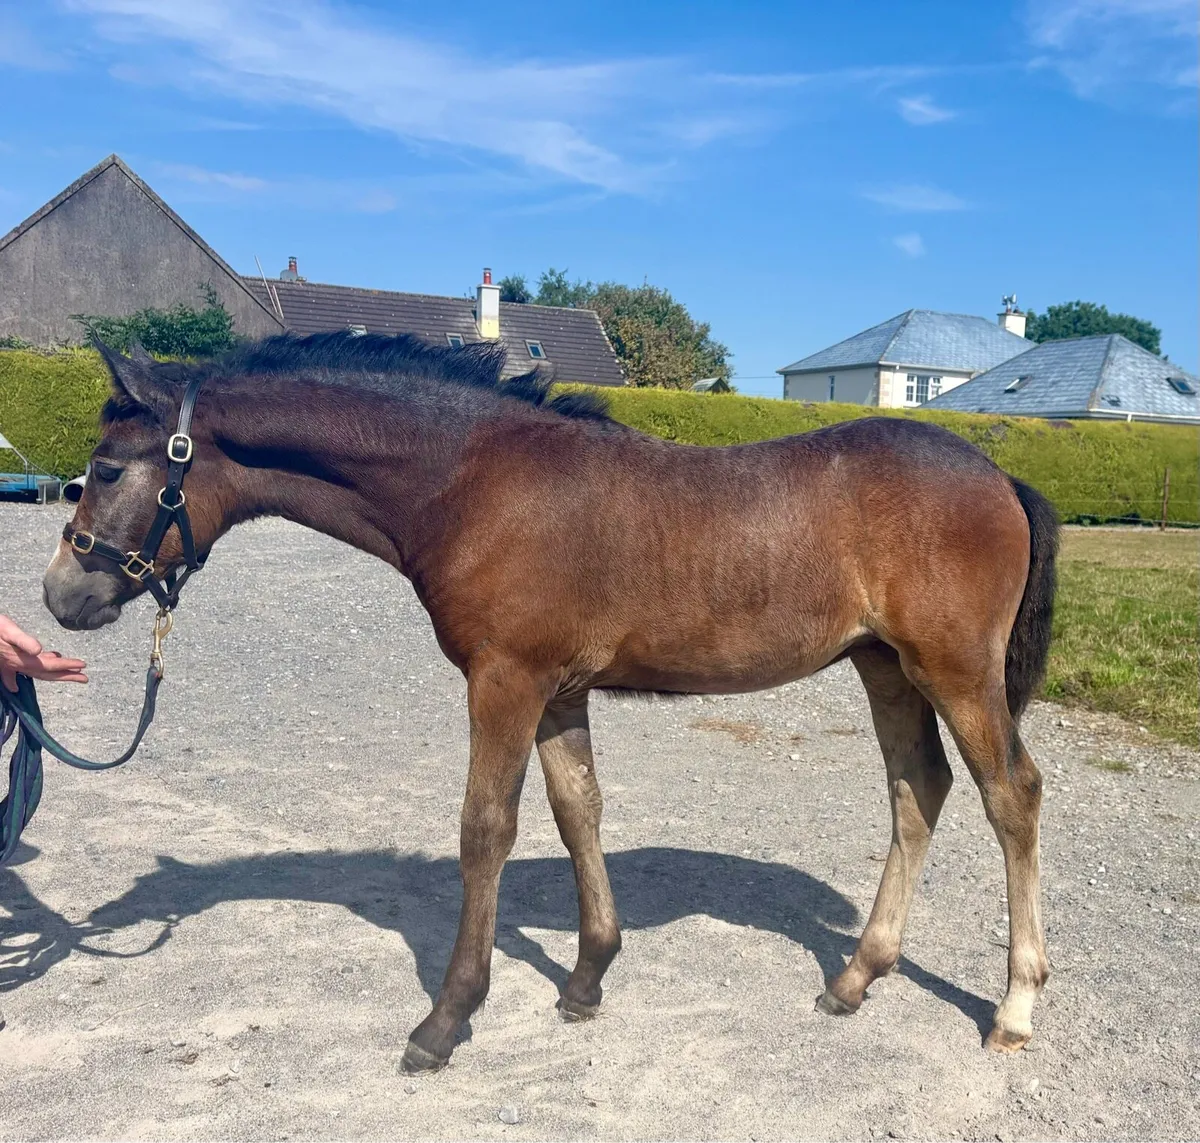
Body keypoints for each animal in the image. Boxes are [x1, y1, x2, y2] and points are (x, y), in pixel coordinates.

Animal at [42, 332, 1058, 1073]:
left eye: (107, 468)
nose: (61, 595)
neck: (471, 479)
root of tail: (1001, 477)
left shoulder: (507, 678)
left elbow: (486, 827)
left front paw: (446, 1018)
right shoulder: (559, 690)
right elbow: (579, 810)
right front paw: (586, 978)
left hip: (953, 670)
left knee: (1012, 794)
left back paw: (1013, 1008)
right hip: (885, 667)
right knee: (918, 789)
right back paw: (854, 979)